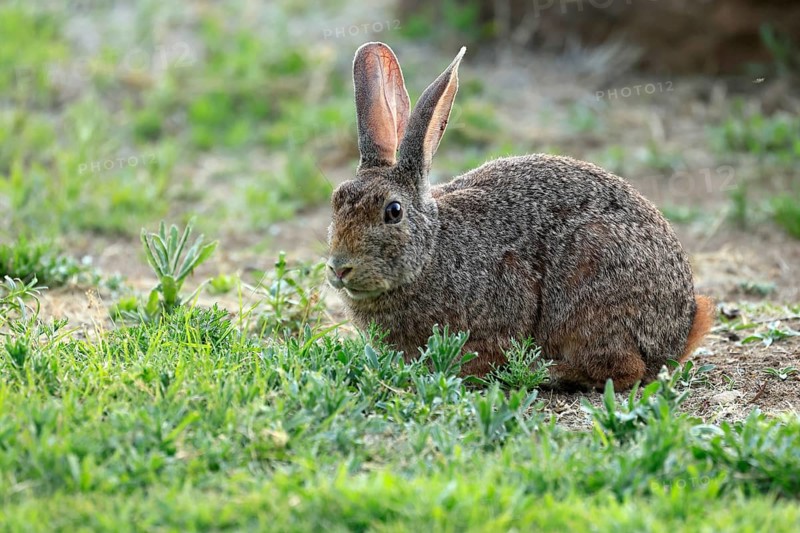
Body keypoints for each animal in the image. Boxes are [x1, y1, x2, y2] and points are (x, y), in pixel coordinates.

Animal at [326, 42, 715, 391]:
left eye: (393, 211)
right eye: (336, 199)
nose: (339, 268)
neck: (431, 252)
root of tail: (678, 332)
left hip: (592, 290)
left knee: (623, 370)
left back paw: (549, 373)